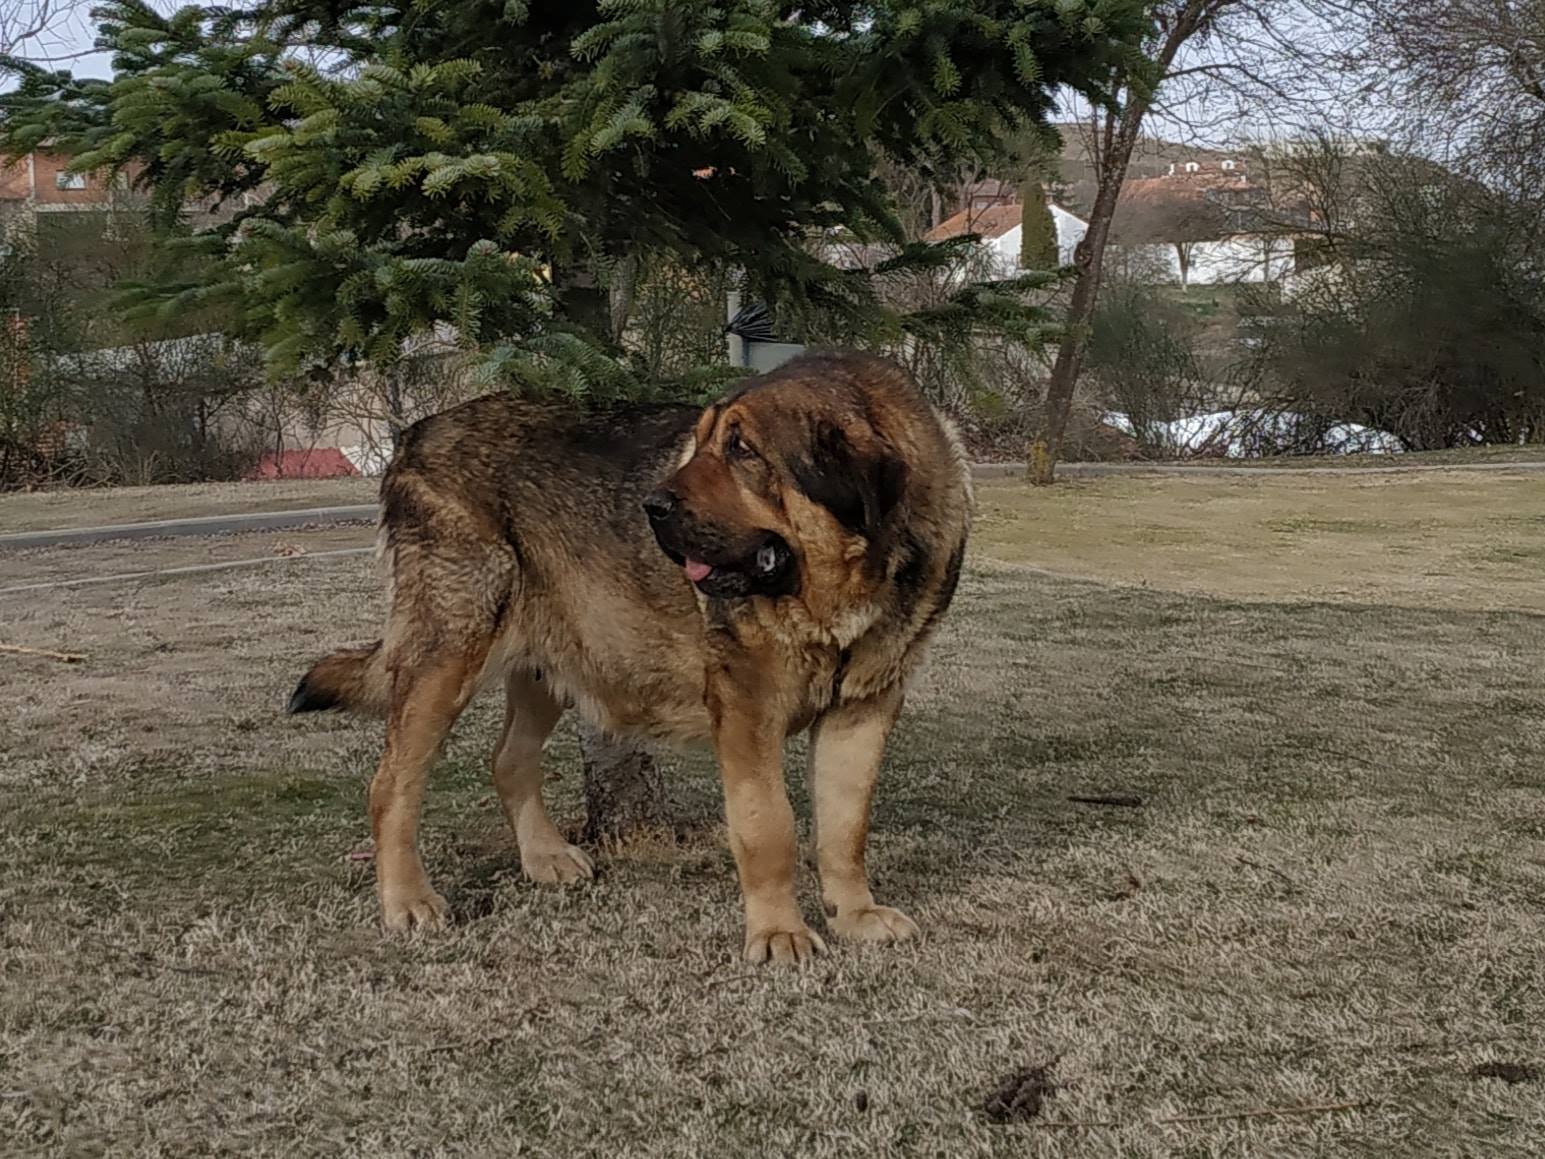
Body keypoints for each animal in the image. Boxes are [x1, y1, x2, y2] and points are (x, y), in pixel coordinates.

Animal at [288, 351, 971, 963]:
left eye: (743, 450)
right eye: (704, 443)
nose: (653, 507)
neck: (837, 596)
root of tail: (414, 434)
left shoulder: (864, 711)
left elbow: (845, 825)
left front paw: (854, 914)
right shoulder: (747, 708)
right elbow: (767, 826)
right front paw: (779, 933)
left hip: (559, 657)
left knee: (507, 760)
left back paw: (544, 857)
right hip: (448, 654)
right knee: (392, 784)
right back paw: (407, 899)